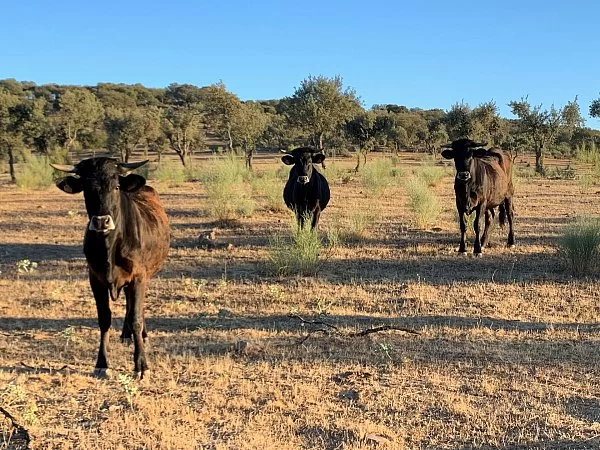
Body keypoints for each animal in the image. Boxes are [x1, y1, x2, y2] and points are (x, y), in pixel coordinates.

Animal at [50, 156, 170, 378]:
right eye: (87, 189)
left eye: (116, 186)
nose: (101, 221)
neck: (110, 248)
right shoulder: (95, 279)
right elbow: (104, 319)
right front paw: (101, 363)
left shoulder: (138, 277)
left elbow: (136, 317)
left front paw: (141, 365)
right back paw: (126, 335)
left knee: (135, 309)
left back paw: (140, 334)